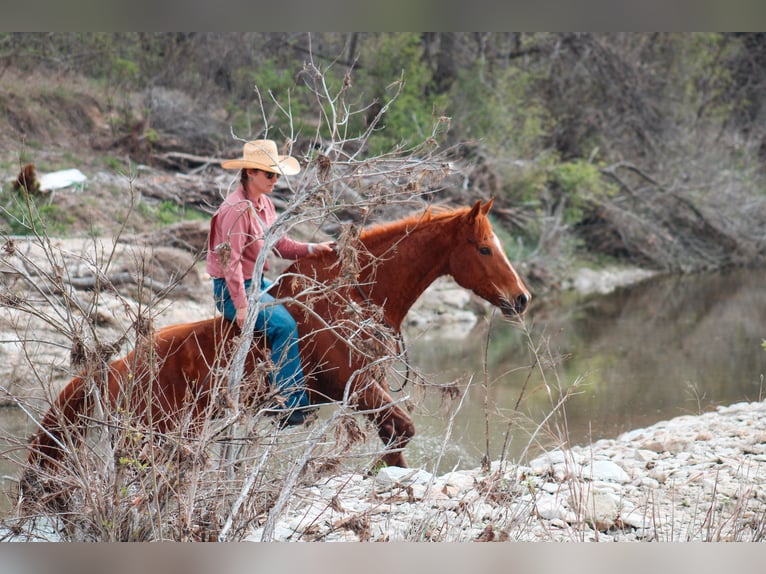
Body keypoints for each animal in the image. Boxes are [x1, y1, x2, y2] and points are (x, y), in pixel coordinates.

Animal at [22, 200, 528, 488]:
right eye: (484, 248)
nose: (521, 298)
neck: (349, 297)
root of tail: (119, 367)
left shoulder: (370, 389)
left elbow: (397, 438)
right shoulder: (358, 389)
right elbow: (401, 430)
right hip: (155, 436)